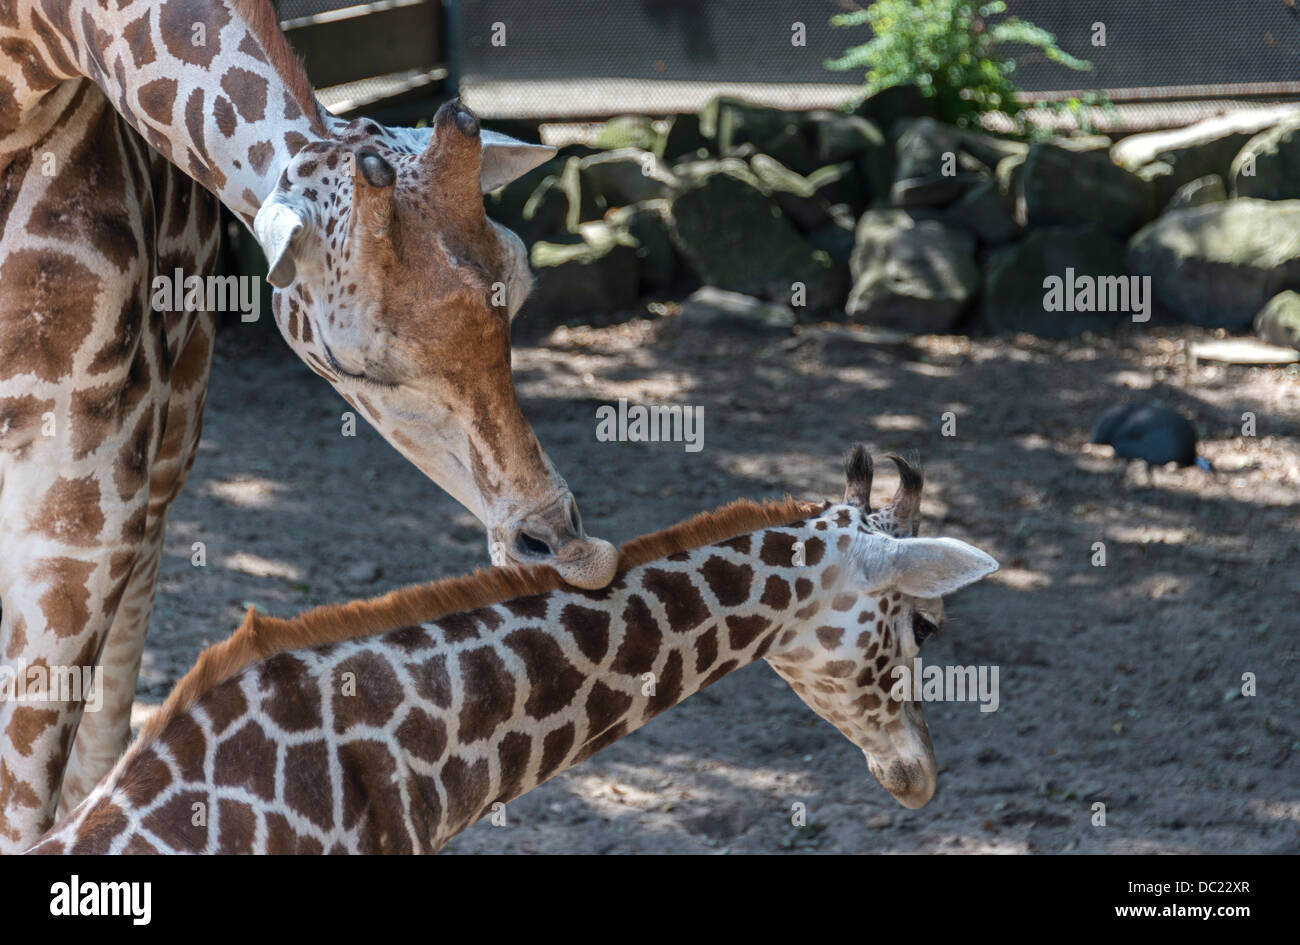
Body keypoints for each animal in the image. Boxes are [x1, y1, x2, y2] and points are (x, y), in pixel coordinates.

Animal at [0, 0, 616, 852]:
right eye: (352, 360)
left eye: (518, 288)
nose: (561, 545)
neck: (23, 64)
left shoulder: (85, 471)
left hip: (163, 452)